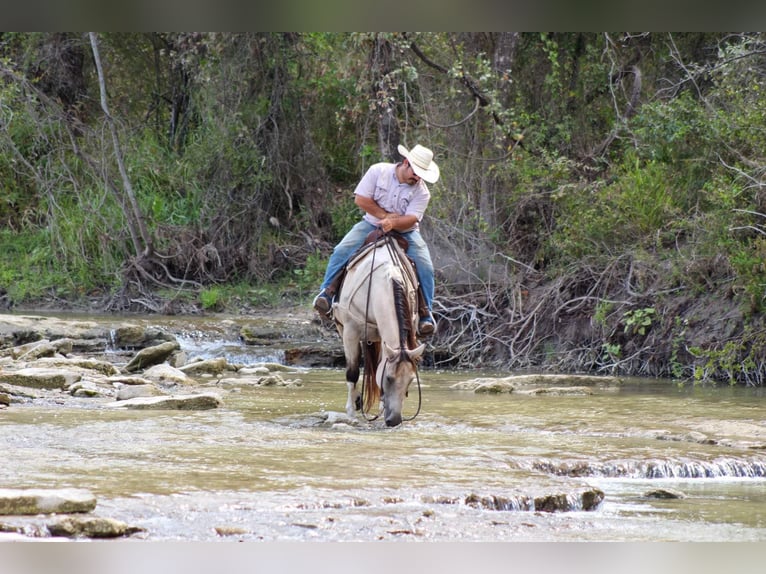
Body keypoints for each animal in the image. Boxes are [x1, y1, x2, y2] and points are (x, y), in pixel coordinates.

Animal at [331, 232, 426, 427]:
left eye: (411, 380)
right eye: (389, 378)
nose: (395, 420)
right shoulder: (350, 332)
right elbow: (352, 373)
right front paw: (351, 412)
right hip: (343, 329)